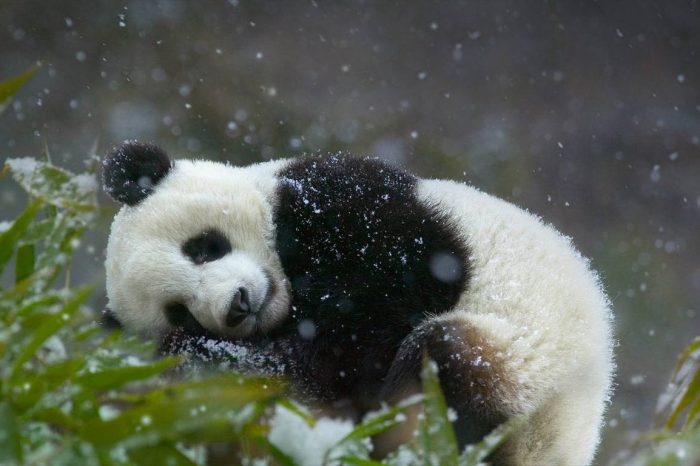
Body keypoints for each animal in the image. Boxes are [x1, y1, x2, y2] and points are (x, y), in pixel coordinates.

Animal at [102, 142, 612, 466]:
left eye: (203, 248)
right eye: (179, 309)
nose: (238, 306)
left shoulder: (348, 204)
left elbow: (382, 303)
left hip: (528, 362)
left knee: (448, 360)